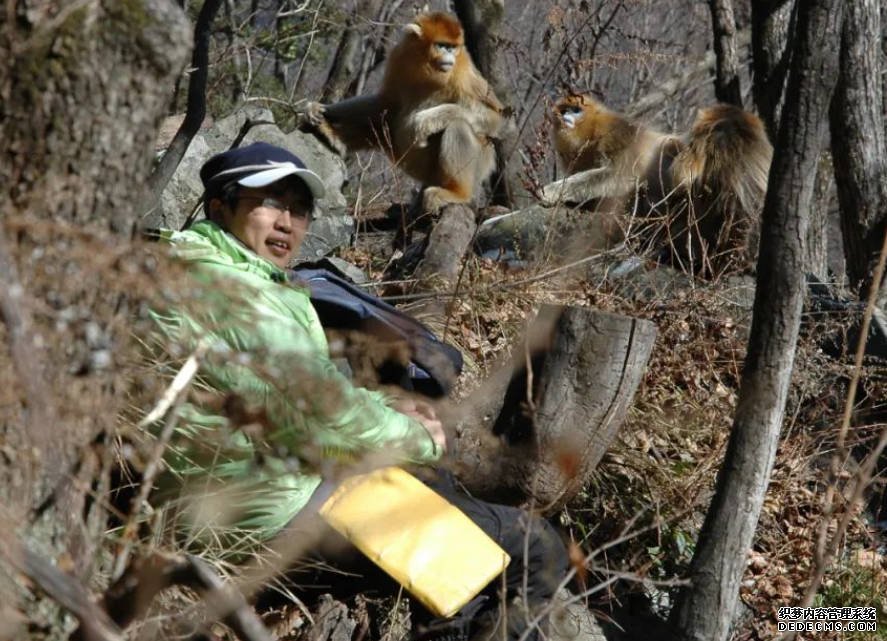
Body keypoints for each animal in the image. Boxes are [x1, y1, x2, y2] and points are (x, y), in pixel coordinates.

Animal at [302, 11, 502, 210]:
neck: (427, 68)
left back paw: (457, 193)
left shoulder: (462, 71)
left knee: (458, 126)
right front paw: (320, 109)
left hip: (479, 163)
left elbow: (496, 118)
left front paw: (423, 122)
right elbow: (385, 103)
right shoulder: (398, 57)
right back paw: (332, 136)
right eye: (442, 45)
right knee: (383, 117)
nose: (449, 55)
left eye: (452, 48)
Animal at [544, 94, 772, 276]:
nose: (566, 116)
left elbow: (616, 176)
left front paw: (548, 192)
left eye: (576, 109)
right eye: (564, 109)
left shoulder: (616, 134)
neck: (590, 134)